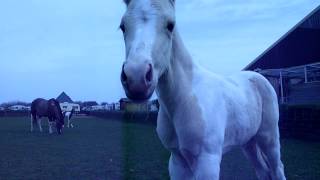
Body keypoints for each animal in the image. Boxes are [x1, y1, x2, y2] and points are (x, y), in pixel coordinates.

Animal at [119, 0, 284, 179]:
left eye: (170, 25)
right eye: (122, 26)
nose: (136, 77)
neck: (185, 98)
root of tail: (259, 77)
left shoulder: (208, 161)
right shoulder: (177, 161)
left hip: (269, 139)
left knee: (277, 168)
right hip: (248, 142)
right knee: (263, 171)